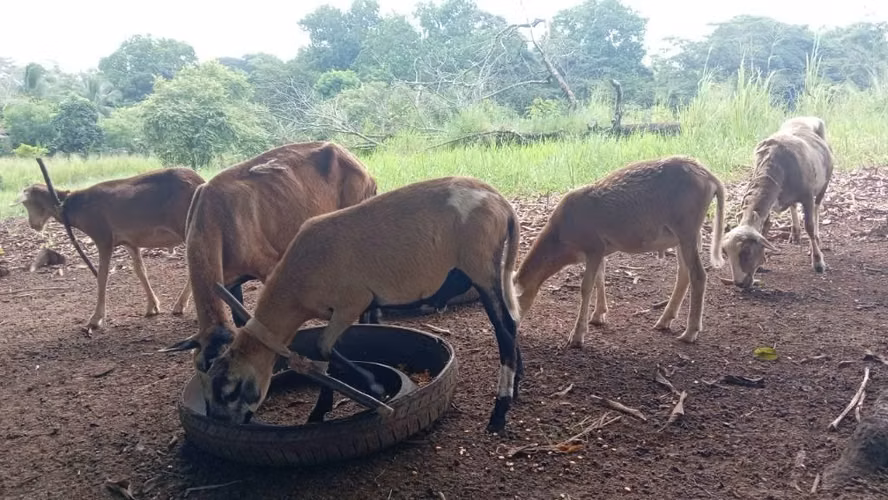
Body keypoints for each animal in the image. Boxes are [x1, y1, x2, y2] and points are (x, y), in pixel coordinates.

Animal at [12, 167, 204, 332]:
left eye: (27, 204)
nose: (33, 225)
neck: (71, 206)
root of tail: (200, 181)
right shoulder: (129, 242)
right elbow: (140, 270)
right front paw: (153, 306)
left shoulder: (103, 237)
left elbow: (102, 276)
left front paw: (95, 319)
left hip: (186, 226)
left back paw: (182, 305)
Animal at [189, 176, 522, 433]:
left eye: (229, 390)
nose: (222, 423)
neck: (296, 283)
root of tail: (501, 203)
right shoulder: (334, 313)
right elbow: (323, 357)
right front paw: (318, 412)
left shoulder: (352, 303)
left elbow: (323, 348)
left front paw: (375, 389)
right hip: (491, 268)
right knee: (511, 321)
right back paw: (516, 385)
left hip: (479, 265)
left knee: (503, 329)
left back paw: (499, 411)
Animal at [513, 155, 726, 346]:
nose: (513, 331)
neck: (561, 240)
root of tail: (711, 177)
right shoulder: (600, 251)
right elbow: (600, 277)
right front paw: (598, 315)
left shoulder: (594, 245)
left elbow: (586, 286)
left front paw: (577, 336)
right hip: (683, 236)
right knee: (684, 273)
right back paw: (664, 321)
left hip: (686, 228)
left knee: (698, 275)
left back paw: (690, 332)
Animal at [721, 116, 834, 288]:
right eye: (726, 253)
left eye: (746, 251)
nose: (739, 283)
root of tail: (805, 118)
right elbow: (764, 229)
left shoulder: (807, 197)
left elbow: (809, 226)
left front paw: (818, 262)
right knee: (793, 206)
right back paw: (795, 234)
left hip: (823, 185)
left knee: (817, 207)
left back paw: (816, 237)